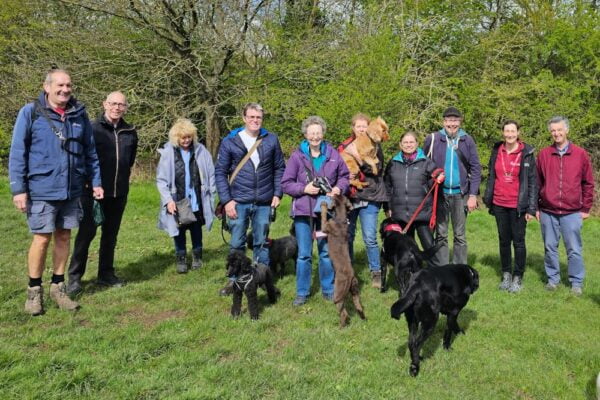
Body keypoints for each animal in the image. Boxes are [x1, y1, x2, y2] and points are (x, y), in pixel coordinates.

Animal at [321, 194, 366, 327]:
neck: (340, 219)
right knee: (359, 306)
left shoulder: (325, 226)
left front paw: (323, 205)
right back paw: (363, 318)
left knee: (344, 313)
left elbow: (323, 216)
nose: (332, 193)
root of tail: (350, 276)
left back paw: (340, 327)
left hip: (338, 292)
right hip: (355, 289)